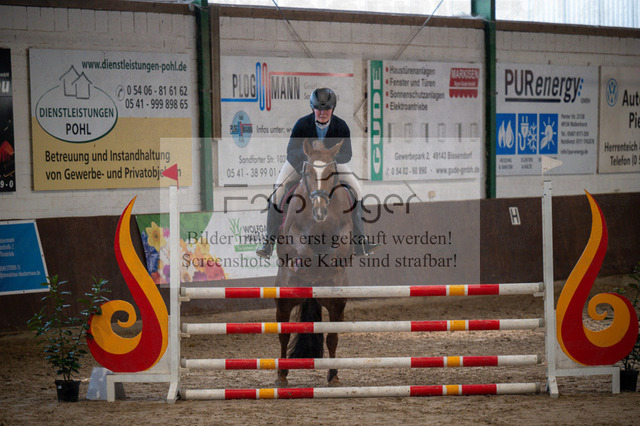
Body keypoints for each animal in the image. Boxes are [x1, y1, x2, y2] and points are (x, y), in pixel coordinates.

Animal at [274, 138, 354, 387]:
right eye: (308, 173)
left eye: (330, 173)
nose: (319, 211)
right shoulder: (292, 232)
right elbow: (301, 245)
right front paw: (305, 261)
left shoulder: (345, 232)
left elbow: (340, 246)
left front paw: (330, 262)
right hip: (284, 301)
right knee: (283, 334)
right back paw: (281, 375)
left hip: (336, 304)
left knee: (332, 338)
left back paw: (333, 375)